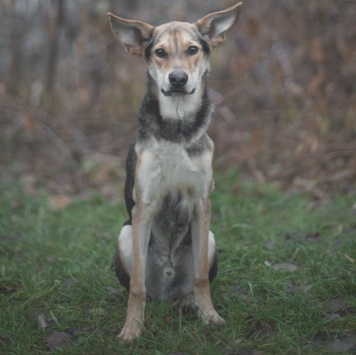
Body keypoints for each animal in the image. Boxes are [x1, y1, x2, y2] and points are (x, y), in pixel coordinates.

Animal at [108, 1, 242, 344]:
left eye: (193, 49)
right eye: (160, 52)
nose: (178, 79)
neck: (177, 129)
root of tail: (167, 291)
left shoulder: (201, 203)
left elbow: (201, 278)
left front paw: (210, 317)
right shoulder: (143, 207)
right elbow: (137, 287)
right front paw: (132, 329)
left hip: (209, 237)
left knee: (190, 284)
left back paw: (189, 304)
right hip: (125, 233)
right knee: (141, 287)